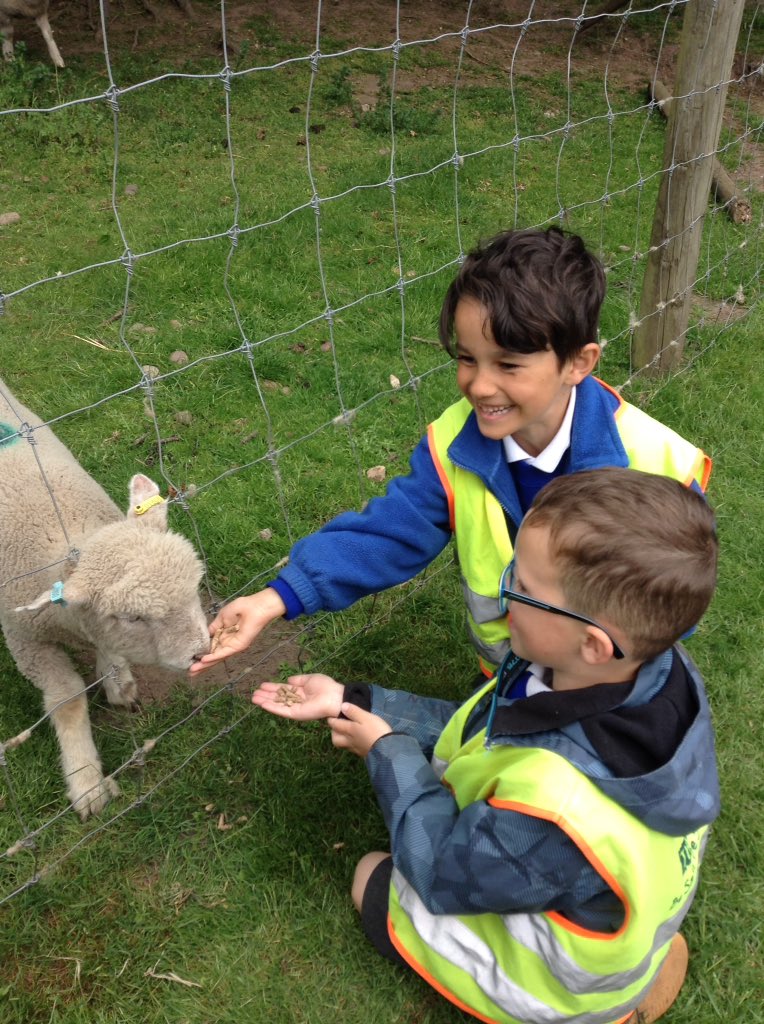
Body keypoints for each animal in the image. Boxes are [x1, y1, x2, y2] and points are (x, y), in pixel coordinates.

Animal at [0, 378, 211, 819]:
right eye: (132, 618)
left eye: (195, 588)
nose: (202, 652)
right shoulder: (24, 640)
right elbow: (66, 698)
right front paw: (86, 782)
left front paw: (118, 681)